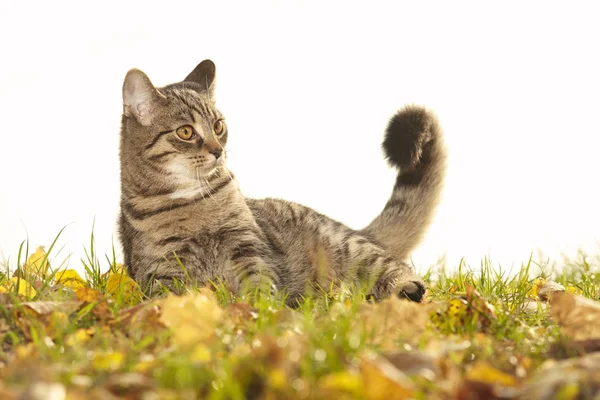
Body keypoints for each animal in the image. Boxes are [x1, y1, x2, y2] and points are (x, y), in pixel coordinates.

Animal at [118, 59, 446, 304]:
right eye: (185, 132)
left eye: (218, 126)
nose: (217, 150)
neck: (193, 202)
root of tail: (356, 230)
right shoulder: (163, 268)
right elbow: (168, 301)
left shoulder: (246, 245)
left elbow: (260, 284)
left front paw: (262, 312)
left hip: (352, 249)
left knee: (397, 270)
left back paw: (405, 291)